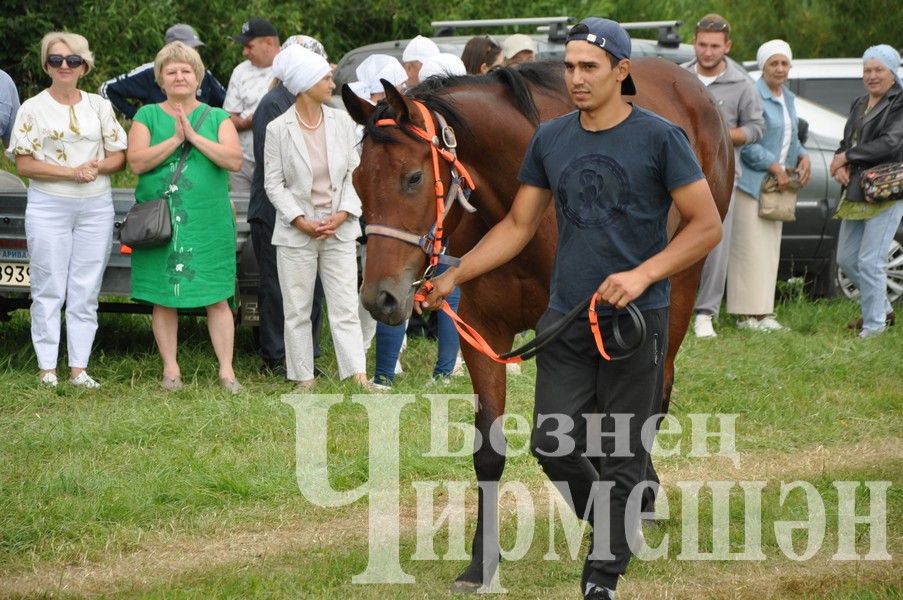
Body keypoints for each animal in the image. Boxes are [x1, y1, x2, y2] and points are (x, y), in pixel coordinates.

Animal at [342, 58, 732, 592]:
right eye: (358, 181)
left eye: (414, 177)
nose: (378, 298)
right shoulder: (482, 333)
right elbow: (491, 451)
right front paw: (480, 564)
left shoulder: (574, 330)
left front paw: (611, 521)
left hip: (679, 285)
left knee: (656, 394)